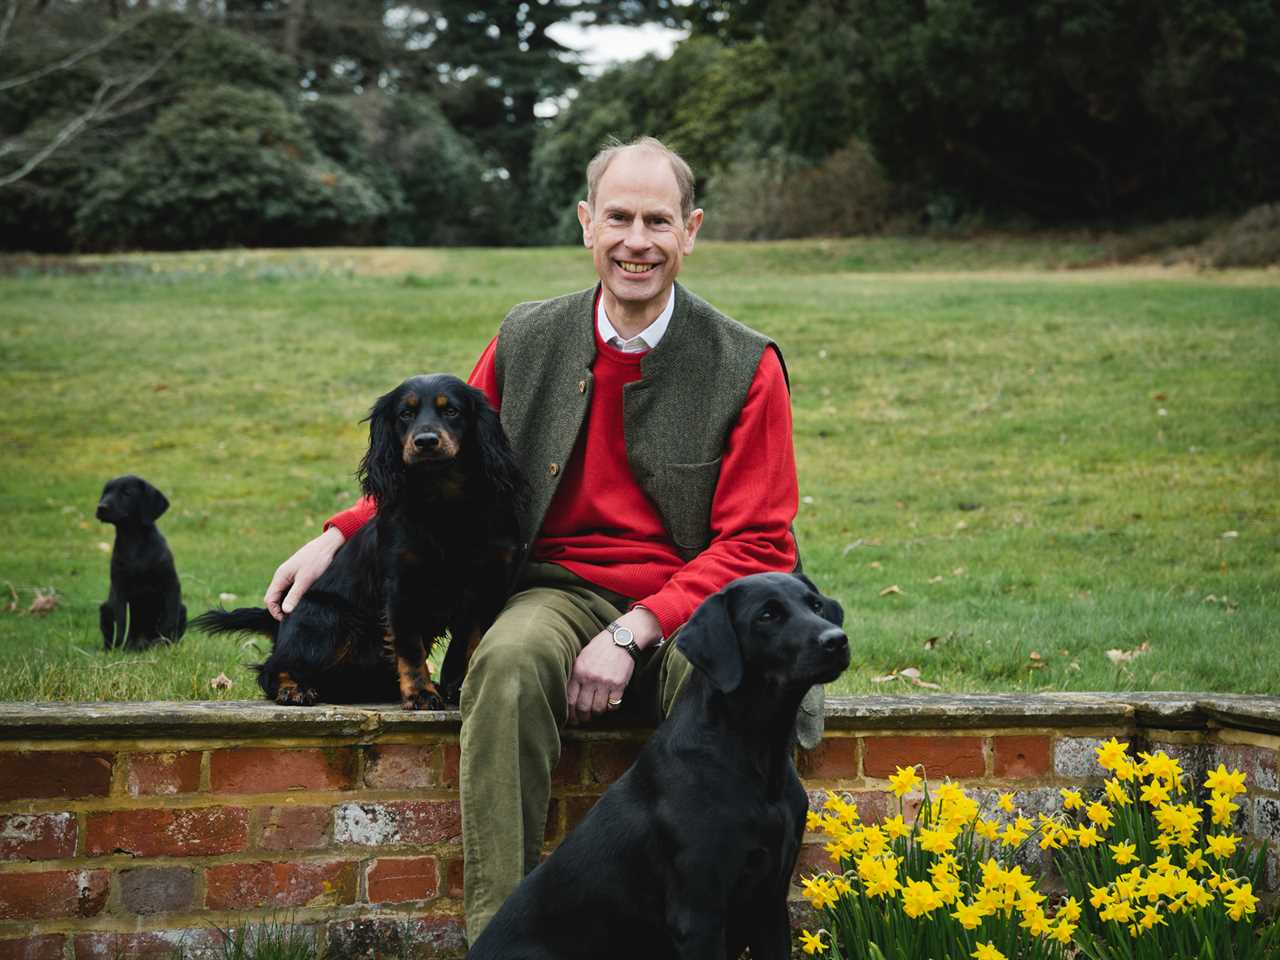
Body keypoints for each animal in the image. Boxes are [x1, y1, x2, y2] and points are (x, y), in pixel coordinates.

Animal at [194, 376, 524, 716]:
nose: (426, 441)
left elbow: (471, 645)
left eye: (452, 411)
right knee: (272, 668)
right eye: (405, 414)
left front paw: (459, 690)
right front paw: (420, 693)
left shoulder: (486, 585)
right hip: (327, 617)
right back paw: (293, 689)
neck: (445, 504)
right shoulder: (401, 588)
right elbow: (410, 648)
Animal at [471, 576, 849, 957]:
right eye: (767, 615)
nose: (837, 640)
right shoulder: (698, 914)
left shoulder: (770, 903)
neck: (757, 753)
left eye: (815, 605)